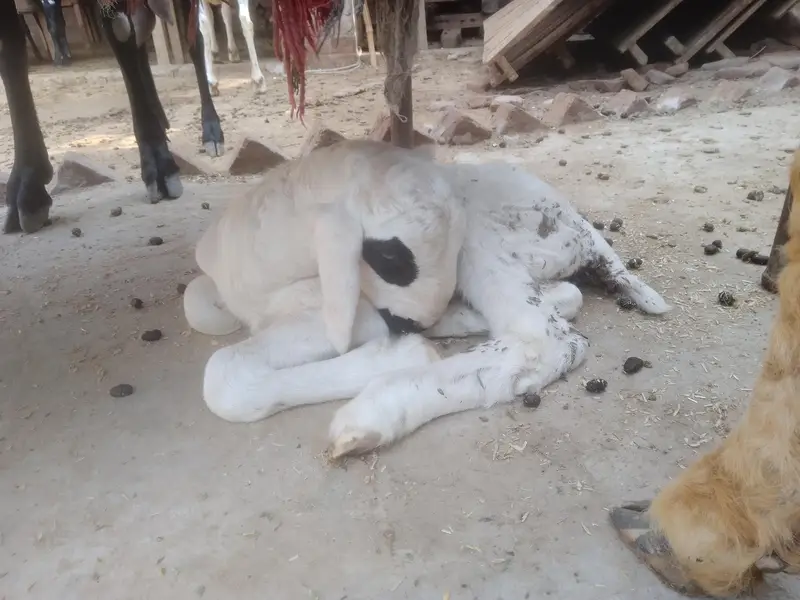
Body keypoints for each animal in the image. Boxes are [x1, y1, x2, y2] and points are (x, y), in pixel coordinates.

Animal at [1, 0, 225, 233]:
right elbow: (10, 47)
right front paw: (29, 185)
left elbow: (121, 34)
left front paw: (159, 164)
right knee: (144, 36)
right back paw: (159, 117)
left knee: (194, 36)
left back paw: (210, 130)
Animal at [184, 140, 671, 457]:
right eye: (389, 257)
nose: (409, 328)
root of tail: (583, 228)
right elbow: (196, 305)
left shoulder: (350, 310)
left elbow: (223, 374)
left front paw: (396, 355)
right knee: (564, 296)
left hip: (492, 234)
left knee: (544, 338)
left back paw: (377, 412)